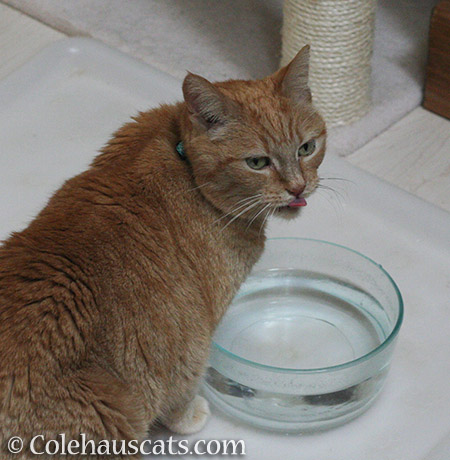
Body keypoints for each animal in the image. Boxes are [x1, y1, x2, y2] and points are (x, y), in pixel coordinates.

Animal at [0, 45, 324, 456]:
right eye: (257, 162)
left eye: (307, 148)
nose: (298, 187)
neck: (184, 163)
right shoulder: (190, 340)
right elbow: (181, 388)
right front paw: (189, 417)